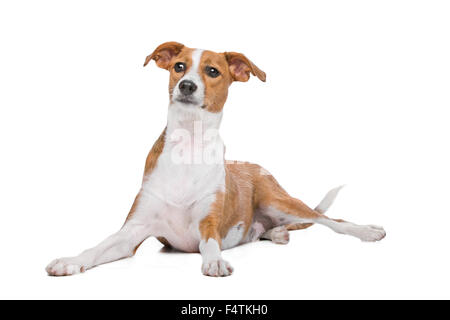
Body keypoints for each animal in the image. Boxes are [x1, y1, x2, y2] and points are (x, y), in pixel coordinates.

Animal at [45, 42, 386, 278]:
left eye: (212, 71)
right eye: (179, 66)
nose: (187, 85)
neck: (189, 145)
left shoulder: (209, 223)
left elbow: (209, 243)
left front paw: (215, 261)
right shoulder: (132, 232)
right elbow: (97, 246)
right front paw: (71, 261)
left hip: (278, 199)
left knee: (330, 220)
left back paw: (366, 231)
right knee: (272, 227)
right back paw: (275, 233)